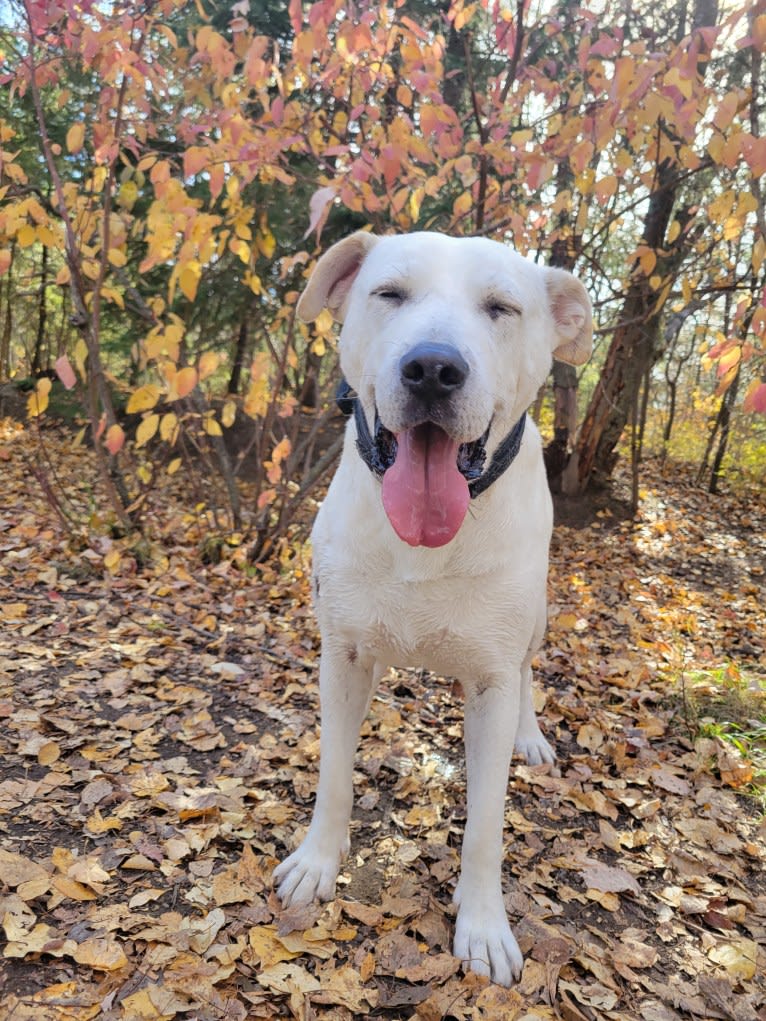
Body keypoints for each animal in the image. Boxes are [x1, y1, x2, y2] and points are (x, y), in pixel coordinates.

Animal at [275, 229, 592, 980]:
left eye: (502, 307)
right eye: (389, 293)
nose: (432, 369)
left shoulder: (492, 682)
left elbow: (486, 825)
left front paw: (483, 925)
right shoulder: (343, 655)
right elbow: (333, 773)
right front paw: (317, 861)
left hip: (535, 618)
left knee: (530, 671)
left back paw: (532, 736)